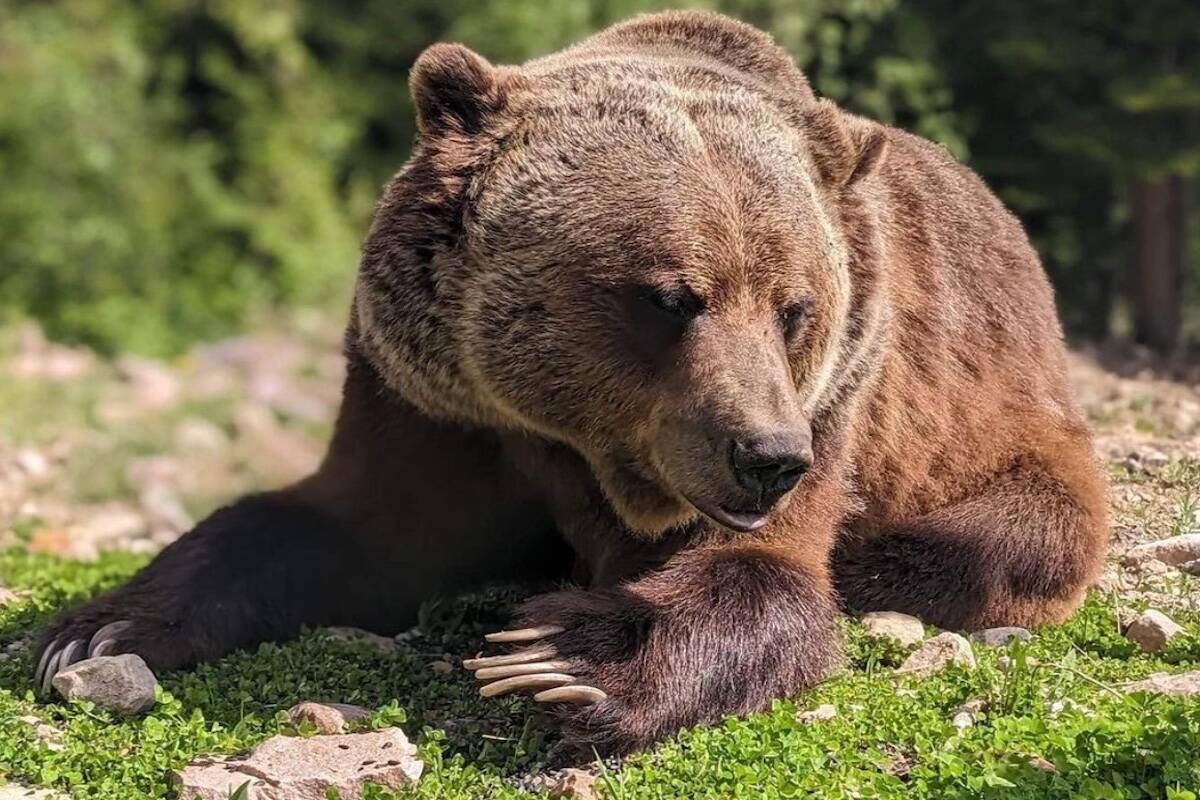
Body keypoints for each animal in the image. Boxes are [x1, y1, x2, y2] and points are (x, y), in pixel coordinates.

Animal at [35, 11, 1108, 754]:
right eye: (672, 297)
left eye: (795, 306)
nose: (768, 458)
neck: (582, 443)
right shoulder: (435, 403)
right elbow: (340, 528)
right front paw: (93, 633)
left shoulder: (836, 402)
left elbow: (764, 572)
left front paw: (568, 653)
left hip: (1005, 425)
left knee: (993, 540)